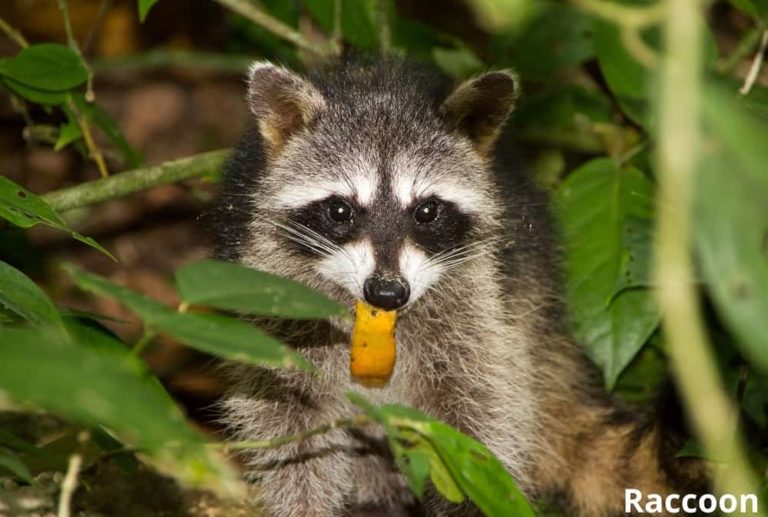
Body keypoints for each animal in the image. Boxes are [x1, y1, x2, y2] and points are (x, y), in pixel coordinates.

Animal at [213, 58, 705, 516]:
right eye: (340, 211)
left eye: (427, 211)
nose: (387, 293)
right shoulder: (271, 285)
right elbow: (287, 420)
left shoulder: (477, 296)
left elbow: (479, 411)